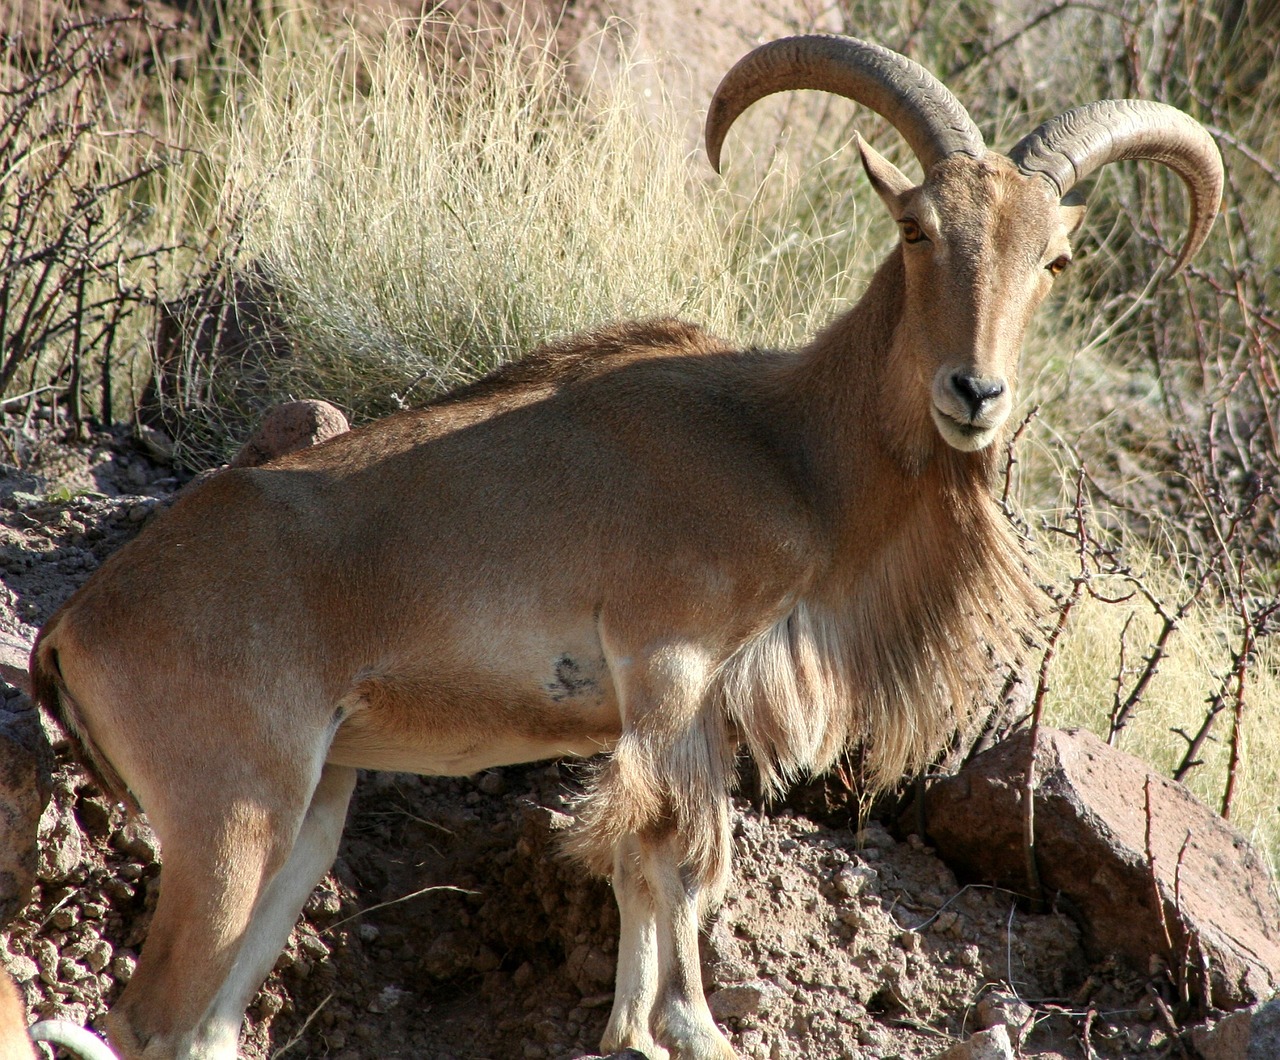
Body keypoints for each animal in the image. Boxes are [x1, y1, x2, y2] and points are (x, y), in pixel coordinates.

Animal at [27, 33, 1218, 1060]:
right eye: (918, 228)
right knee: (144, 1014)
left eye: (1055, 257)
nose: (974, 393)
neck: (783, 446)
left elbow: (650, 862)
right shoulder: (668, 665)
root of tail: (77, 625)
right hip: (231, 820)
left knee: (202, 1025)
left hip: (310, 815)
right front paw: (688, 1026)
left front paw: (632, 1029)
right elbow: (679, 853)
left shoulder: (687, 706)